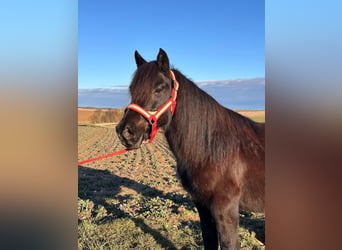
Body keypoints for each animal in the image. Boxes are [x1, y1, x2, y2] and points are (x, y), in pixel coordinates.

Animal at [115, 47, 264, 249]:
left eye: (159, 88)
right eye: (132, 89)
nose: (125, 132)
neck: (211, 150)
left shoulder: (226, 209)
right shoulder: (202, 206)